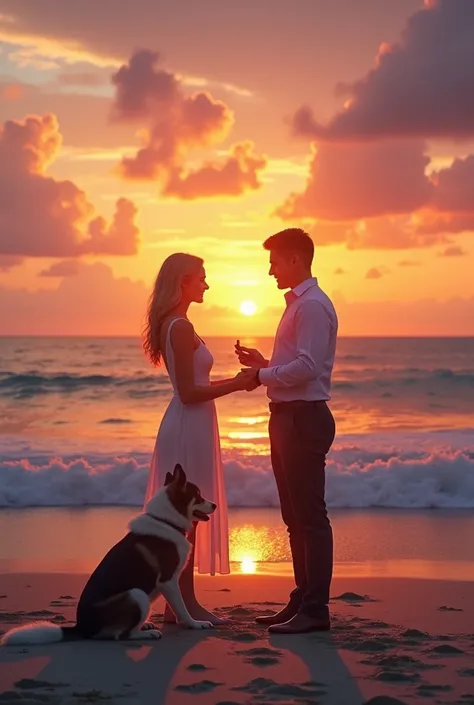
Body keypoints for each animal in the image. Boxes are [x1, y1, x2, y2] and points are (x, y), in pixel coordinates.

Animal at [0, 462, 216, 644]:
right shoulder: (168, 581)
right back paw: (146, 633)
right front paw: (194, 624)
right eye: (198, 495)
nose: (214, 504)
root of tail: (83, 627)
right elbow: (181, 608)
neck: (166, 521)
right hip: (136, 594)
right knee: (123, 635)